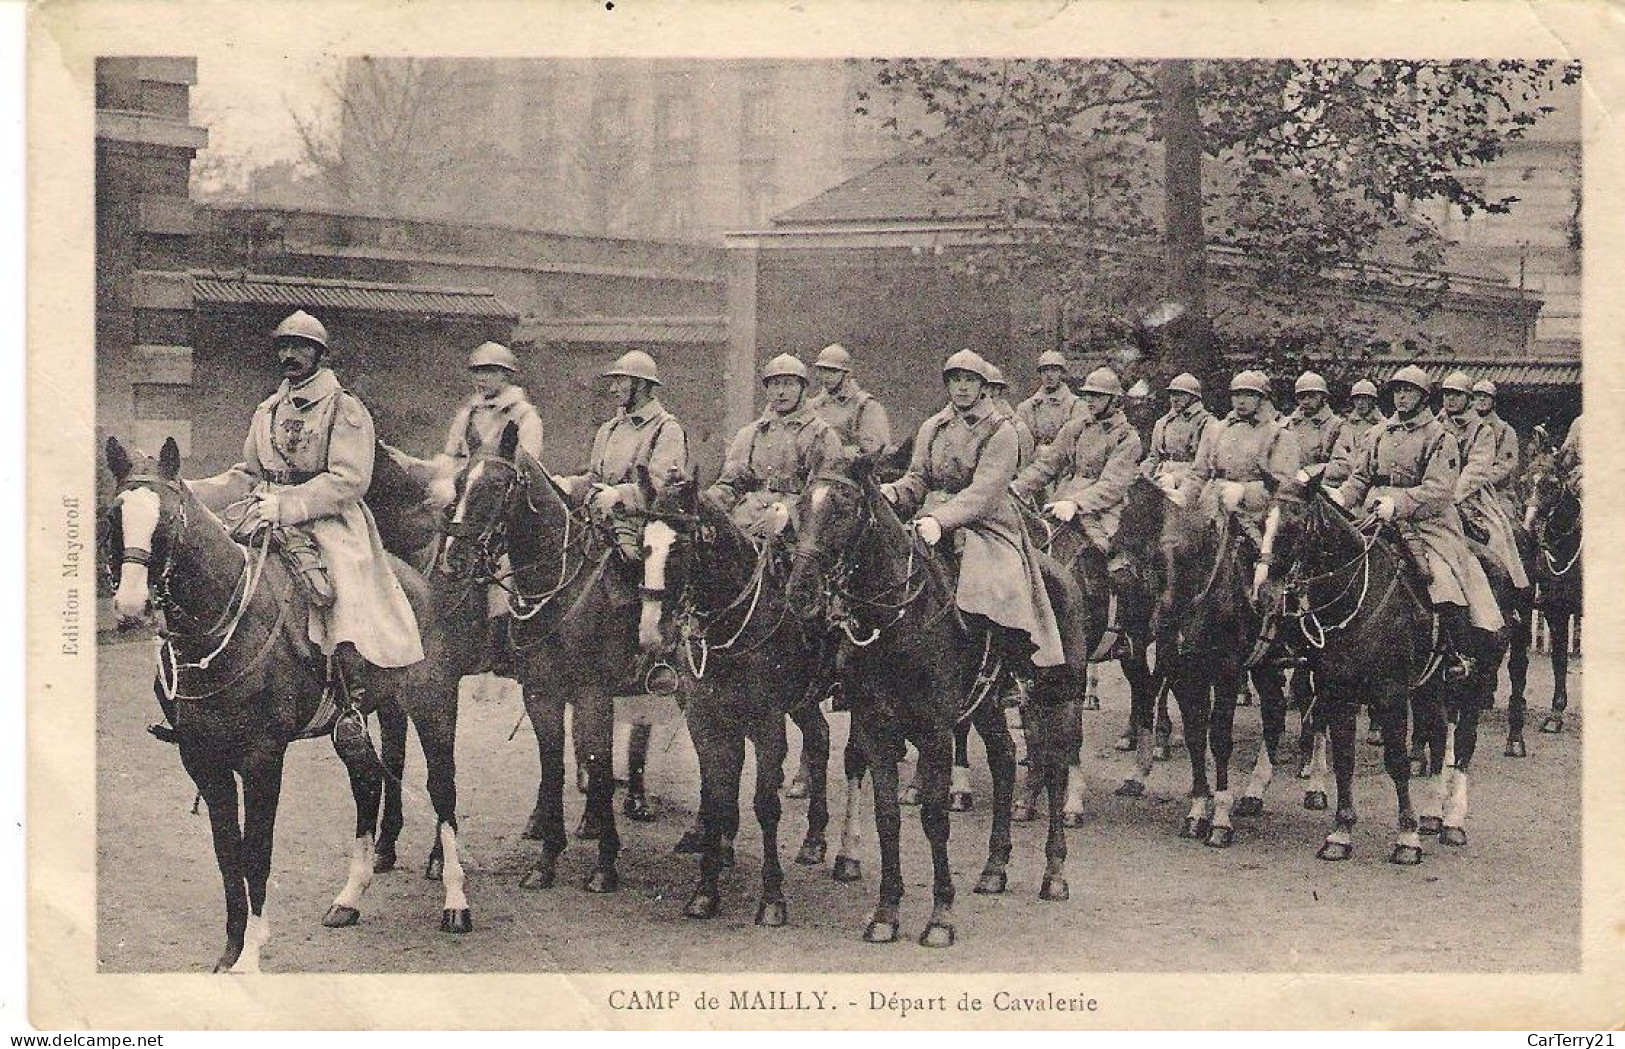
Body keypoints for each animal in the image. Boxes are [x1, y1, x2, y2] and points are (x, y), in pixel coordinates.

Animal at [104, 438, 468, 980]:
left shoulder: (261, 760)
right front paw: (230, 951)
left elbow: (256, 852)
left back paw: (456, 902)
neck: (224, 624)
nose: (131, 605)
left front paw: (251, 955)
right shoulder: (203, 760)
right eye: (114, 515)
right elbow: (228, 854)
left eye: (167, 517)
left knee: (442, 792)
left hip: (434, 707)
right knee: (369, 784)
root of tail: (411, 579)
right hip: (362, 719)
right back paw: (349, 898)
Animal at [442, 422, 643, 902]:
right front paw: (546, 859)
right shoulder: (541, 693)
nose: (454, 560)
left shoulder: (593, 694)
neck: (561, 584)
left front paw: (605, 866)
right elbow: (553, 763)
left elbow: (599, 766)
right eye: (459, 483)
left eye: (496, 486)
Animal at [633, 474, 832, 922]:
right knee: (819, 737)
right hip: (800, 701)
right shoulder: (705, 720)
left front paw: (772, 898)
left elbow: (765, 805)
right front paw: (705, 889)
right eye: (642, 544)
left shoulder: (767, 723)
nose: (651, 634)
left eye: (680, 547)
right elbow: (718, 794)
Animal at [789, 454, 1092, 948]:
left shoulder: (936, 732)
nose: (801, 592)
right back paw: (994, 868)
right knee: (1005, 760)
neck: (897, 619)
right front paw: (886, 914)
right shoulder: (875, 726)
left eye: (844, 507)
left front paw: (940, 918)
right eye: (801, 504)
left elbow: (935, 818)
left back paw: (1054, 875)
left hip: (1059, 698)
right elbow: (888, 817)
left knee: (1055, 769)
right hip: (988, 704)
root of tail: (1059, 569)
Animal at [1254, 470, 1508, 863]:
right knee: (1438, 736)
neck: (1358, 593)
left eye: (1296, 525)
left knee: (1463, 744)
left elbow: (1398, 760)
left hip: (1475, 682)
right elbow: (1344, 760)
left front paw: (1407, 838)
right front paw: (1341, 833)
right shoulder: (1338, 692)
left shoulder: (1390, 694)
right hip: (1430, 686)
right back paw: (1432, 814)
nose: (1263, 594)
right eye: (1262, 521)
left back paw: (1452, 821)